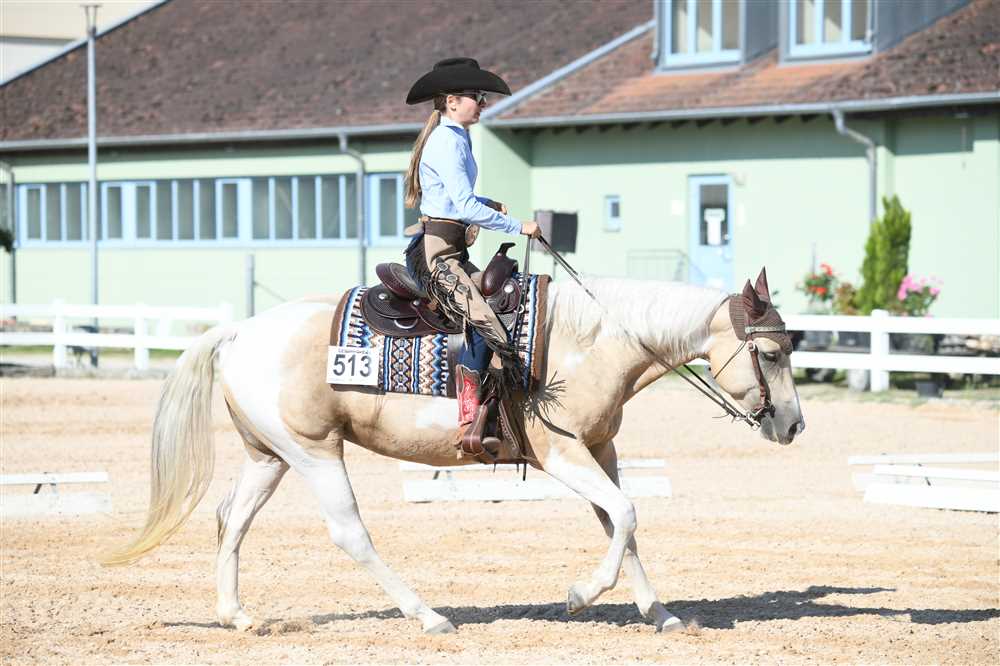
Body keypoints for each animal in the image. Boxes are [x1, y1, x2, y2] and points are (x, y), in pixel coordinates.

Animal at [101, 269, 804, 635]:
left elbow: (621, 524)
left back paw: (239, 616)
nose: (795, 426)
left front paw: (660, 614)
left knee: (232, 520)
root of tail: (239, 330)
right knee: (350, 534)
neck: (588, 342)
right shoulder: (563, 455)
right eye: (771, 353)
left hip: (269, 456)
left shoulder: (601, 449)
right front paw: (581, 595)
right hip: (313, 453)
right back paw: (429, 616)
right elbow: (626, 517)